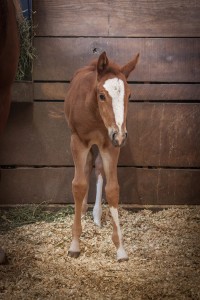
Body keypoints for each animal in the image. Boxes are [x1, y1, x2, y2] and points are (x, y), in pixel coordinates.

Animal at [64, 51, 139, 260]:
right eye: (101, 95)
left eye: (129, 95)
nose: (121, 135)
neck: (96, 115)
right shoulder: (78, 141)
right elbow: (79, 185)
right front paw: (75, 244)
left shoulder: (110, 145)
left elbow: (112, 189)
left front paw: (120, 249)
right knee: (87, 166)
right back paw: (82, 210)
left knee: (97, 167)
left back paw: (96, 214)